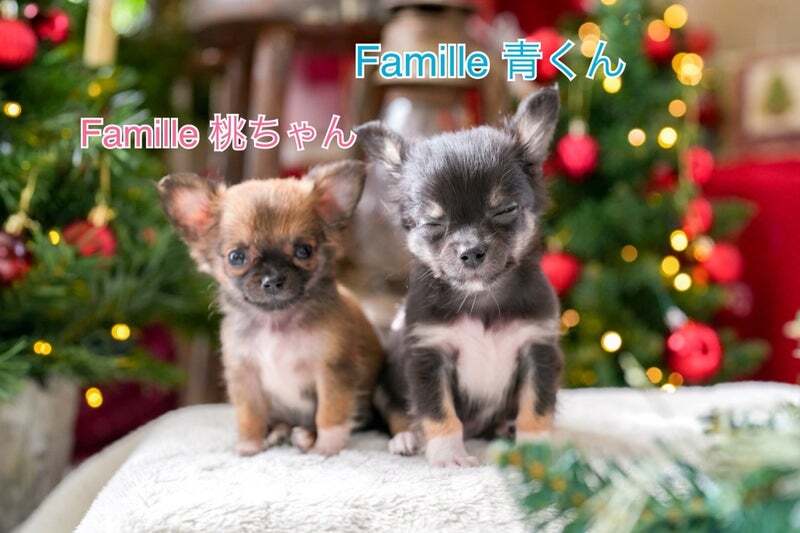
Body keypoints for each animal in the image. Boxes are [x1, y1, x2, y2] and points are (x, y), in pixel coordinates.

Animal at [158, 161, 384, 456]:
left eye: (304, 251)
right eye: (237, 257)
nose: (273, 279)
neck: (276, 323)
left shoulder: (333, 370)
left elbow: (330, 413)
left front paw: (327, 447)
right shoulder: (245, 375)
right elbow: (250, 414)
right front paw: (250, 446)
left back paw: (305, 437)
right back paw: (279, 432)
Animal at [356, 87, 563, 466]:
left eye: (505, 210)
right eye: (433, 223)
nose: (471, 251)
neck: (481, 299)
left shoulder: (537, 349)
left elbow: (536, 407)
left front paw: (535, 451)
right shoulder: (429, 355)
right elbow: (438, 410)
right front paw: (449, 454)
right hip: (384, 383)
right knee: (397, 414)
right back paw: (407, 439)